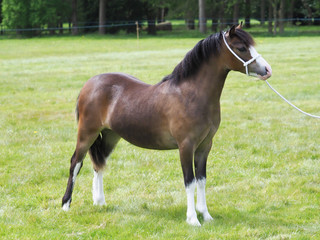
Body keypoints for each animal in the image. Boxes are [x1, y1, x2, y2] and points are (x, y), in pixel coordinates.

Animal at [62, 24, 270, 227]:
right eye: (241, 48)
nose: (267, 70)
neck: (190, 94)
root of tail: (89, 84)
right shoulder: (186, 146)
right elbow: (189, 181)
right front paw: (193, 219)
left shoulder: (204, 146)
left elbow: (201, 180)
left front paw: (206, 215)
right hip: (86, 134)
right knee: (76, 163)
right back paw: (66, 205)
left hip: (110, 136)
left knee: (98, 164)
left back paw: (100, 202)